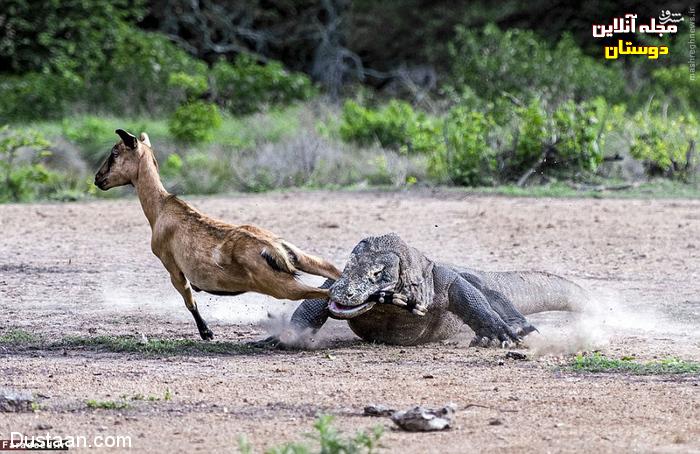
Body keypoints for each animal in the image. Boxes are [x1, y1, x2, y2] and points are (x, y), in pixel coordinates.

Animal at [93, 129, 342, 338]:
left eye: (115, 152)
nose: (97, 178)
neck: (162, 208)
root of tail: (273, 248)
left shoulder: (172, 266)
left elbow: (189, 300)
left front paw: (206, 333)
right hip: (299, 258)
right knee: (332, 271)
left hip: (280, 286)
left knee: (329, 293)